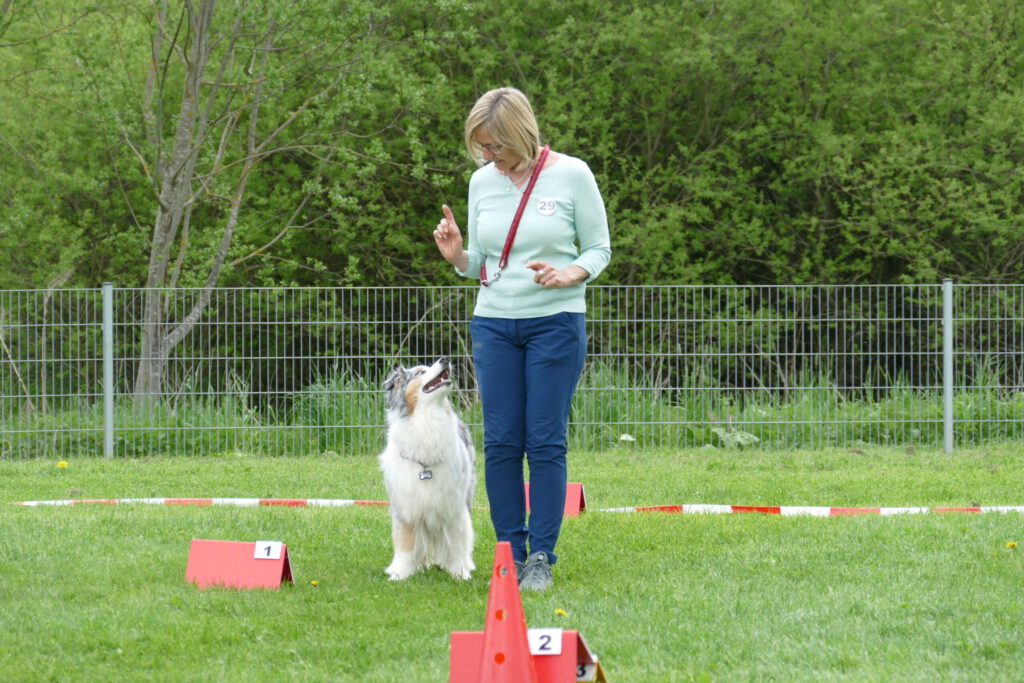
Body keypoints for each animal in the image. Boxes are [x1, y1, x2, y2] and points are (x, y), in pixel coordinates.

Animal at [379, 357, 476, 580]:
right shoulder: (407, 506)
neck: (428, 419)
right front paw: (400, 574)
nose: (445, 358)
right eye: (420, 371)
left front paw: (459, 573)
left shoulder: (453, 506)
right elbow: (406, 544)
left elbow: (457, 543)